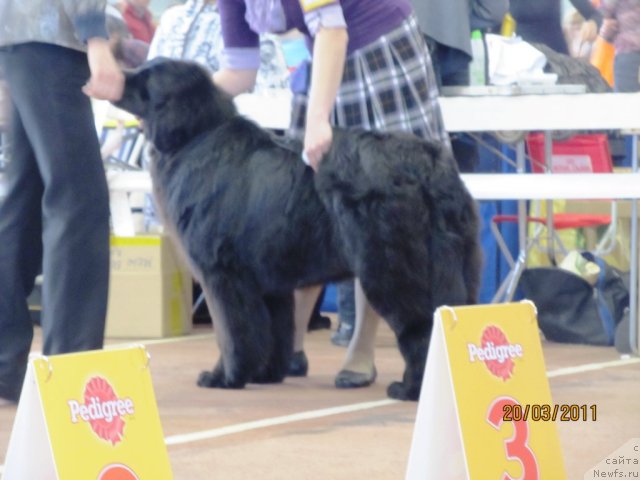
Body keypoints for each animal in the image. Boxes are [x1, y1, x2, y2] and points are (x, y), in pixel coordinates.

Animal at [114, 59, 480, 402]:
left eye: (146, 78)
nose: (117, 74)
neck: (196, 137)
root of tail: (428, 166)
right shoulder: (268, 282)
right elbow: (273, 330)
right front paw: (266, 373)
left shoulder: (222, 275)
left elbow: (233, 333)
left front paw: (225, 376)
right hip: (457, 264)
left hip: (392, 269)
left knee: (422, 325)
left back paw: (411, 389)